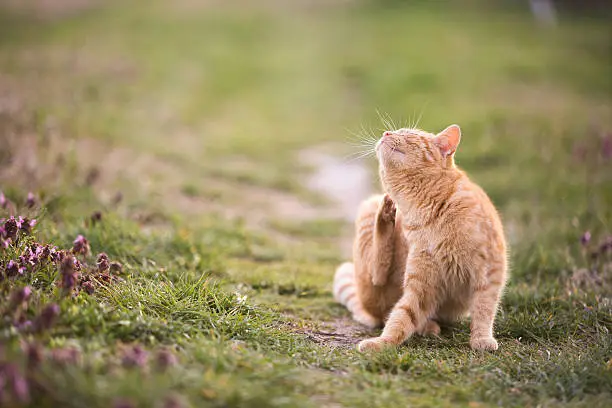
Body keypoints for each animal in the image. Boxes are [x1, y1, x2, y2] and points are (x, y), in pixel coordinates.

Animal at [332, 124, 510, 350]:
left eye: (408, 134)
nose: (386, 133)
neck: (426, 209)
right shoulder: (420, 284)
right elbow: (401, 317)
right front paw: (381, 343)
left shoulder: (490, 271)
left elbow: (484, 309)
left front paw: (481, 339)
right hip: (369, 210)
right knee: (378, 280)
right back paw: (386, 214)